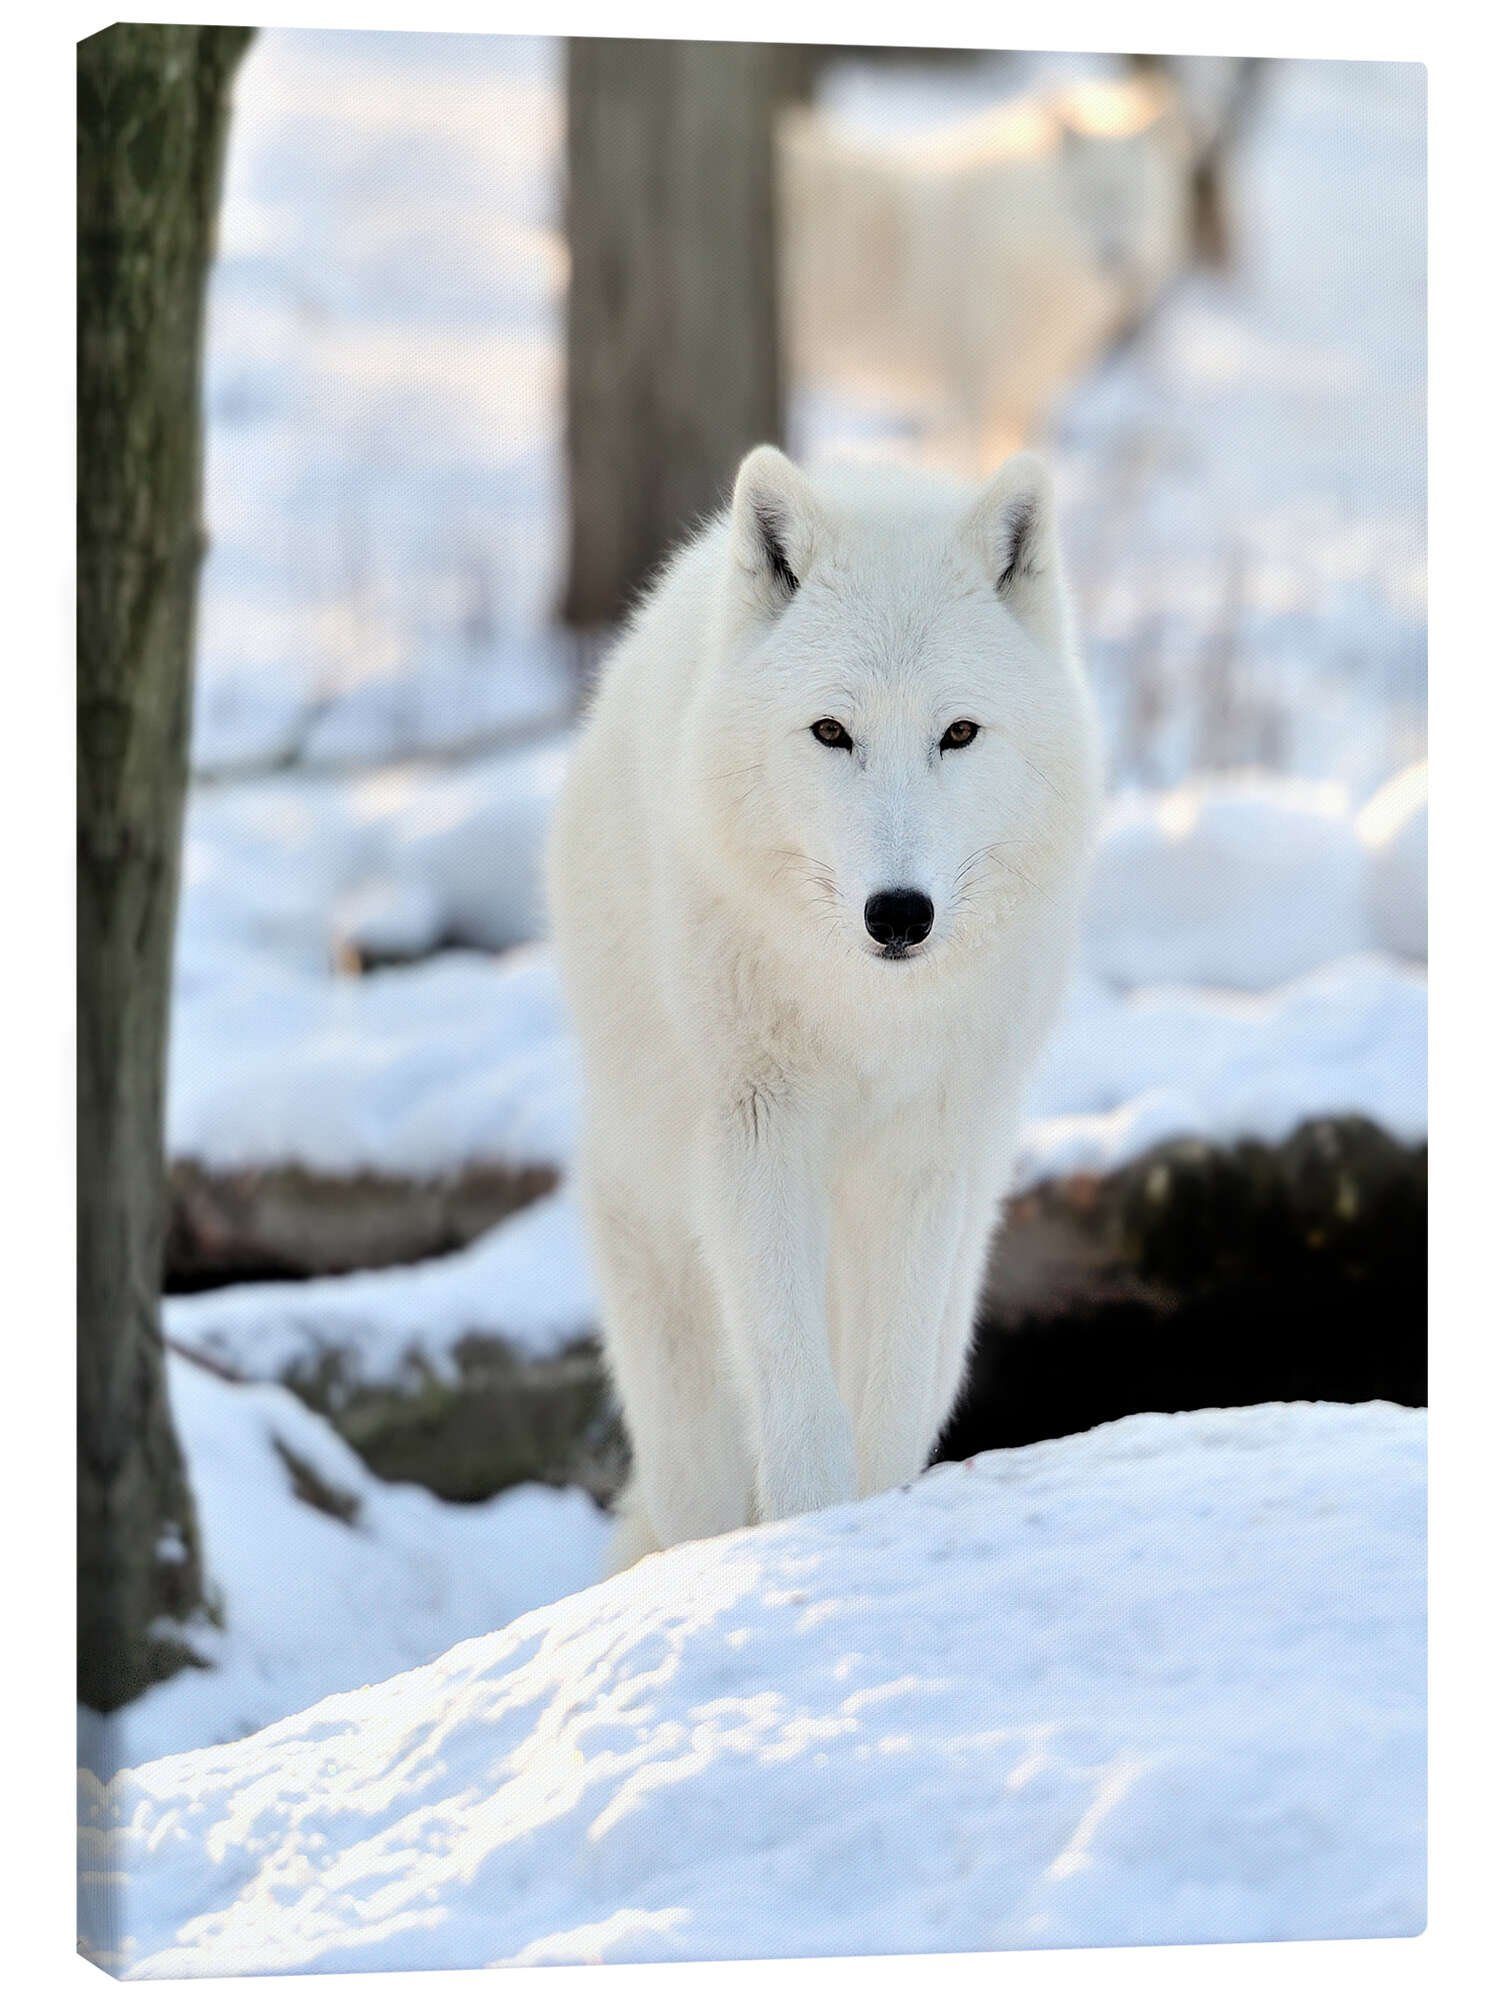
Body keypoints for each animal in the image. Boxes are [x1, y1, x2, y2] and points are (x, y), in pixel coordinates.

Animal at [547, 446, 1100, 1571]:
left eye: (959, 733)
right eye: (832, 732)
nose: (900, 913)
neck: (866, 1017)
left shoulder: (925, 1156)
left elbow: (883, 1400)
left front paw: (878, 1530)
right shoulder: (757, 1137)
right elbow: (800, 1405)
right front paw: (815, 1541)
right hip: (673, 1312)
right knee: (702, 1487)